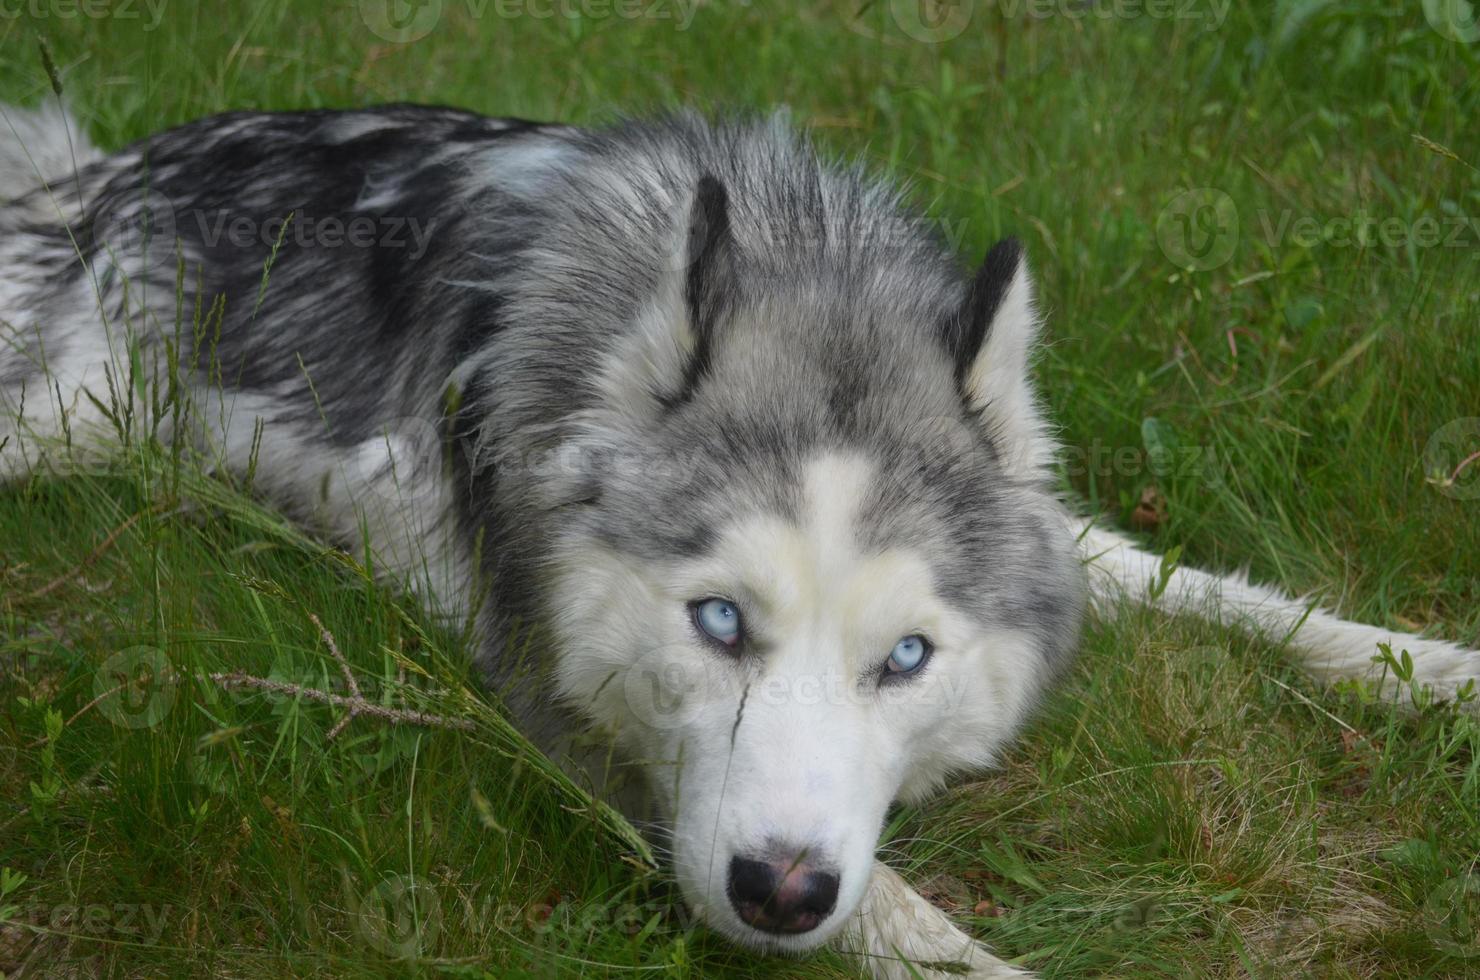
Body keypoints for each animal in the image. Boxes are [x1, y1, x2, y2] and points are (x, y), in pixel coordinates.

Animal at [2, 103, 1480, 977]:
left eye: (906, 657)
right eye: (718, 621)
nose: (778, 893)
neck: (806, 273)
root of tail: (94, 174)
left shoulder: (1058, 539)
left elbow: (1204, 583)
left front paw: (1424, 667)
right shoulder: (554, 711)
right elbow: (927, 939)